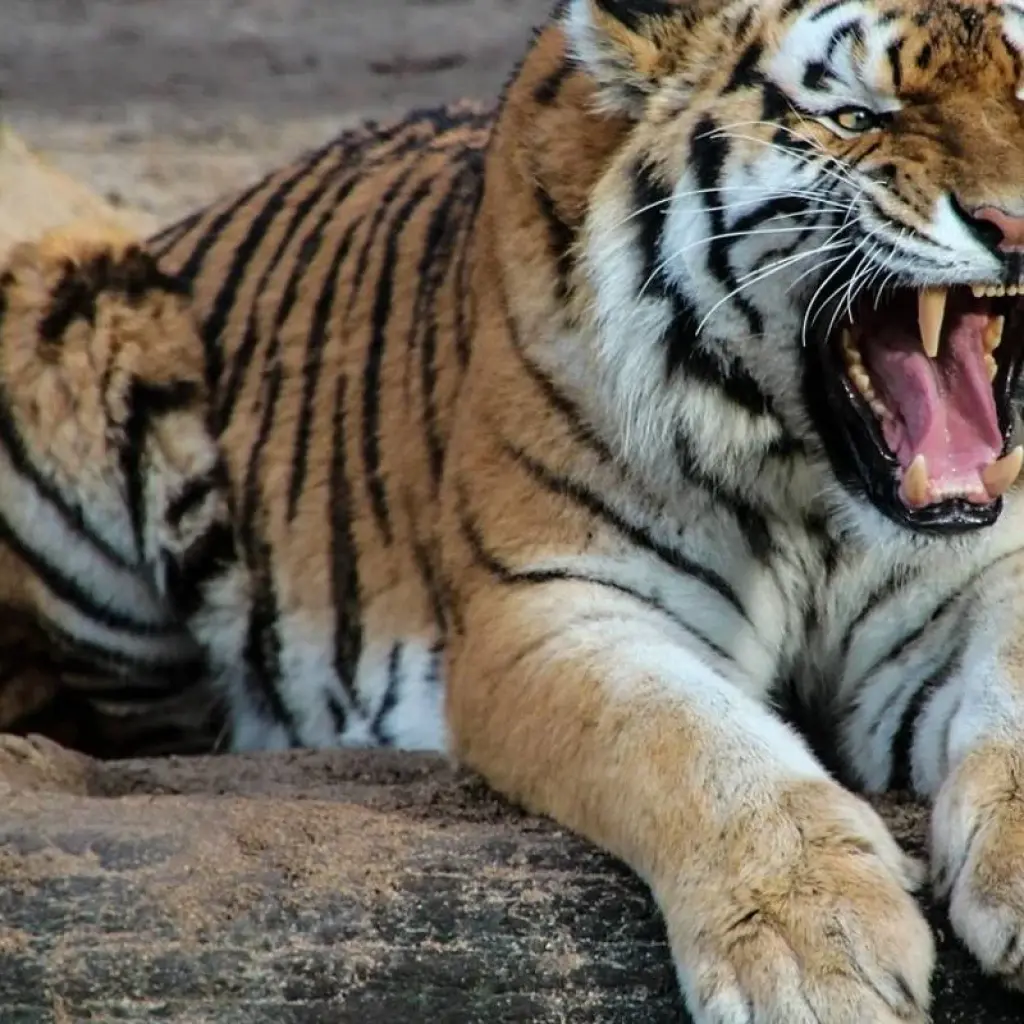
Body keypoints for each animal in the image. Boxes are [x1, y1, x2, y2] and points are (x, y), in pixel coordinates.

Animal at [7, 0, 1024, 1018]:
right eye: (856, 117)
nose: (1014, 227)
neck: (815, 488)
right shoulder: (550, 607)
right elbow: (689, 738)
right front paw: (812, 949)